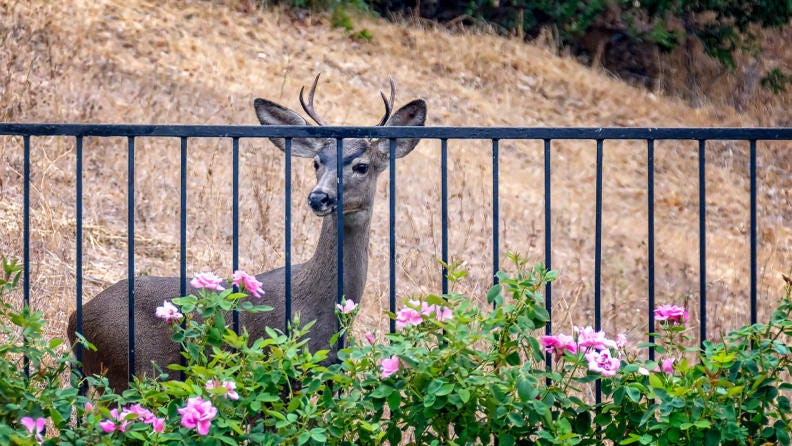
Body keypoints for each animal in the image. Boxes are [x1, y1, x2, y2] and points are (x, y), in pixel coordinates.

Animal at [68, 76, 426, 390]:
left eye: (362, 166)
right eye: (316, 162)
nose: (319, 197)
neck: (319, 306)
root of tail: (75, 322)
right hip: (132, 370)